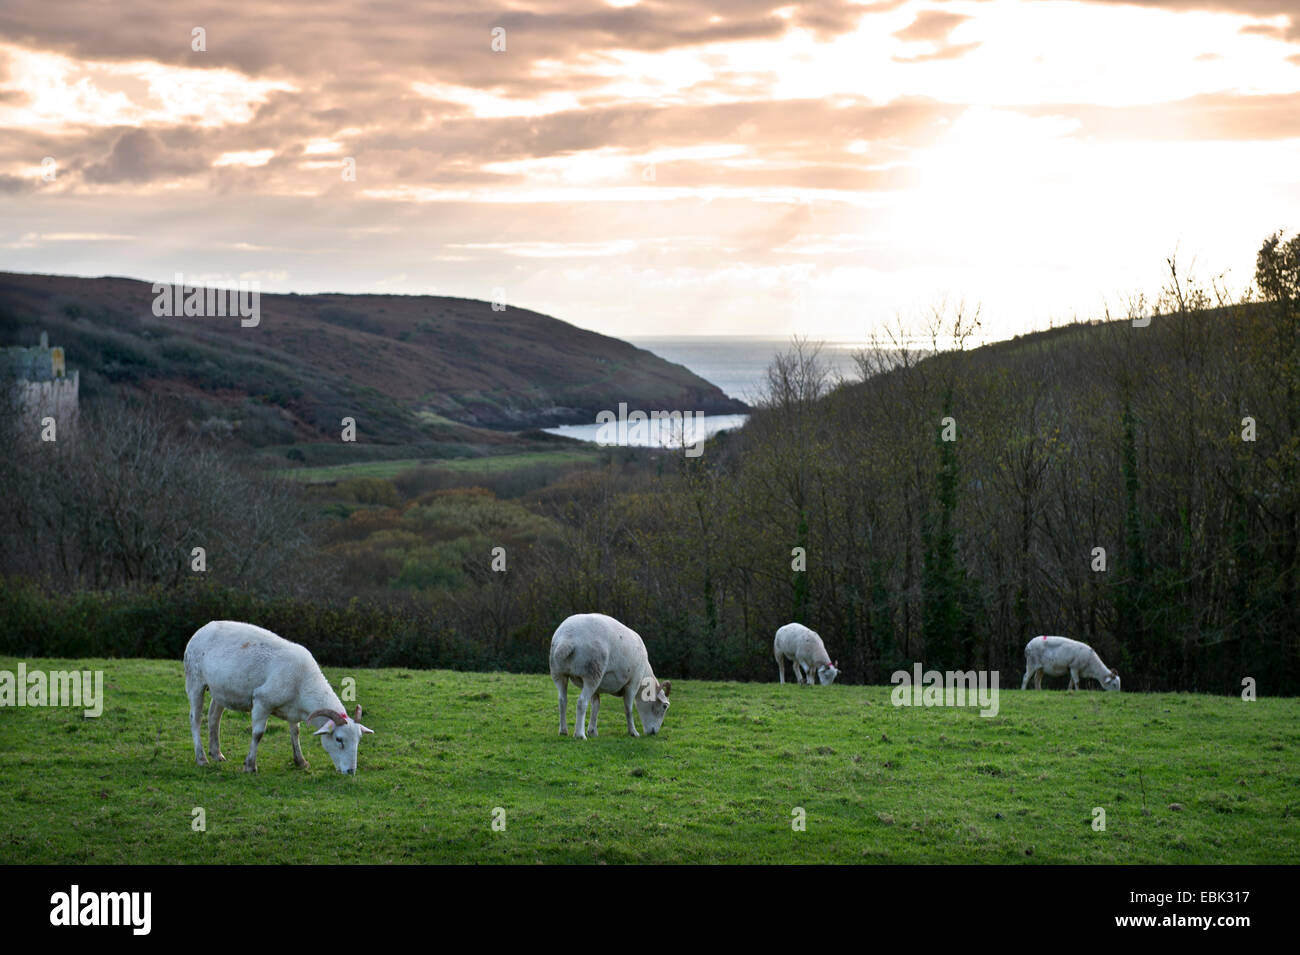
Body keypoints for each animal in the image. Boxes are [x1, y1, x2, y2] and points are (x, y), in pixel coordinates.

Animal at [180, 623, 371, 774]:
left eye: (359, 740)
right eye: (339, 739)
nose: (351, 771)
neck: (304, 683)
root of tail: (204, 628)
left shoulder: (293, 709)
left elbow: (295, 732)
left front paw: (301, 761)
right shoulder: (262, 701)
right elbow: (258, 734)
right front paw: (250, 765)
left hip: (221, 689)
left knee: (214, 717)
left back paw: (216, 754)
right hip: (194, 680)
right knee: (195, 718)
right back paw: (201, 758)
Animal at [546, 615, 670, 743]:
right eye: (664, 707)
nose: (653, 733)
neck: (644, 675)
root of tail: (567, 639)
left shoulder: (597, 690)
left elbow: (596, 707)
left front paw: (592, 731)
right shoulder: (633, 683)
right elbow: (628, 709)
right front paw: (633, 732)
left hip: (558, 672)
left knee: (562, 700)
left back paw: (563, 731)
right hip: (592, 672)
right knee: (581, 702)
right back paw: (580, 734)